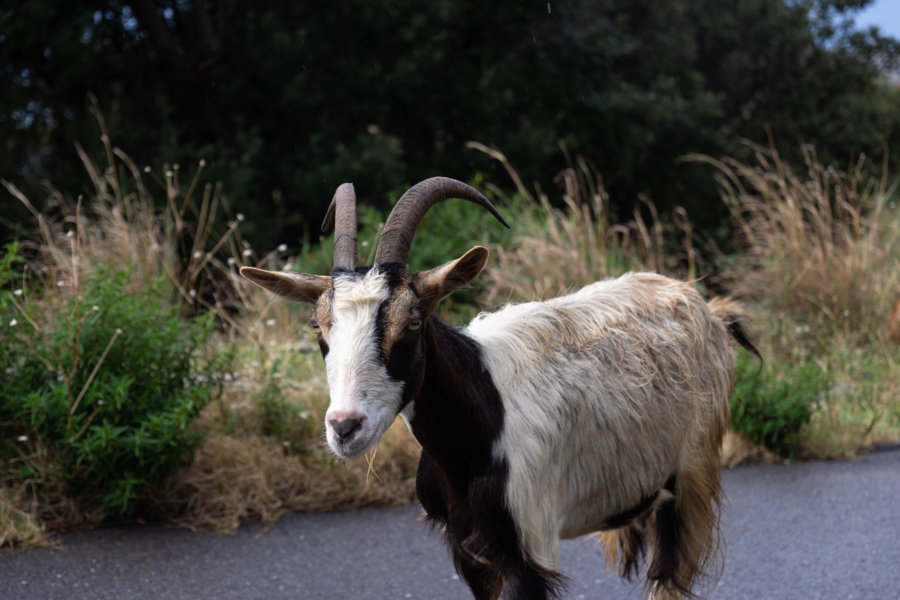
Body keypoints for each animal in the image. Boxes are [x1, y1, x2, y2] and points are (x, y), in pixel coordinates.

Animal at [241, 178, 760, 600]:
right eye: (318, 325)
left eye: (413, 322)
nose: (345, 428)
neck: (476, 432)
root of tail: (710, 309)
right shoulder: (470, 550)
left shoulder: (529, 550)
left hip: (691, 473)